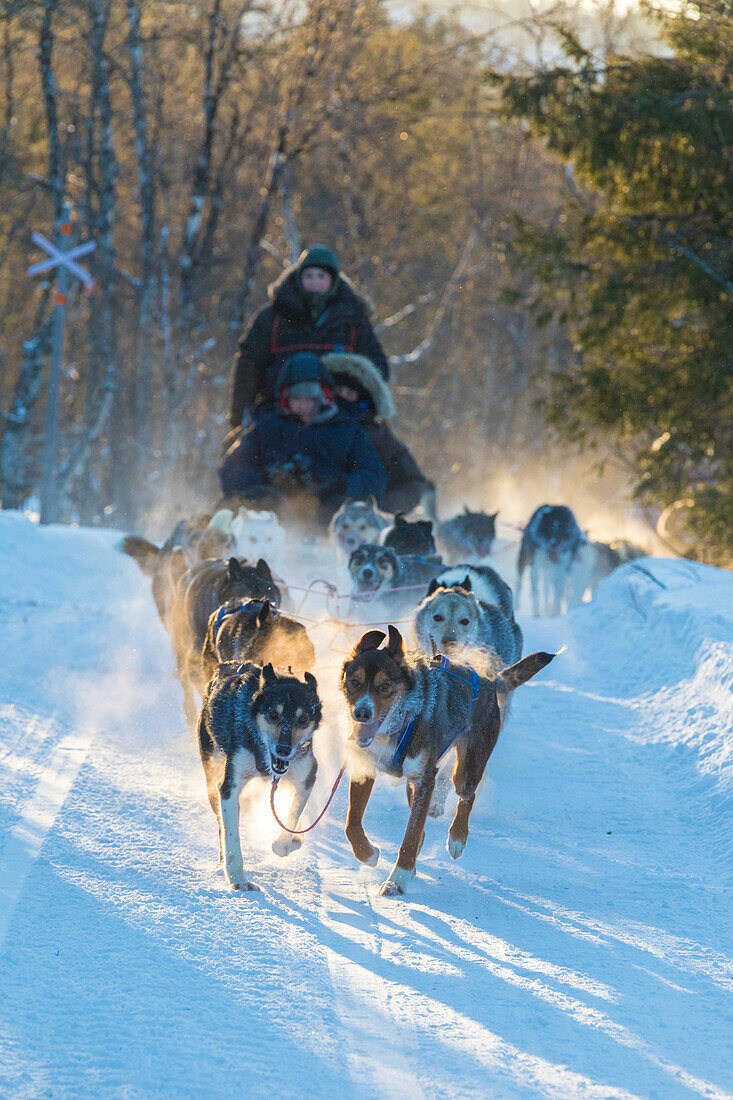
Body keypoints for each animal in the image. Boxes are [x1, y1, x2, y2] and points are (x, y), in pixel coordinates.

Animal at [197, 655, 319, 888]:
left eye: (303, 719)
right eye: (273, 714)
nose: (283, 749)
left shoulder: (307, 777)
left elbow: (288, 826)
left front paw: (291, 841)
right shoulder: (229, 787)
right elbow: (232, 839)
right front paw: (238, 880)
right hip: (211, 777)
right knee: (222, 826)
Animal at [338, 629, 550, 893]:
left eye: (384, 686)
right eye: (354, 682)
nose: (362, 713)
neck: (398, 725)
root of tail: (489, 680)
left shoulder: (425, 781)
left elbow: (410, 836)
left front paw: (397, 880)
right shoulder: (365, 770)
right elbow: (352, 824)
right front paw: (368, 854)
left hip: (466, 769)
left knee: (467, 796)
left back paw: (457, 839)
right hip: (415, 785)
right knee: (422, 827)